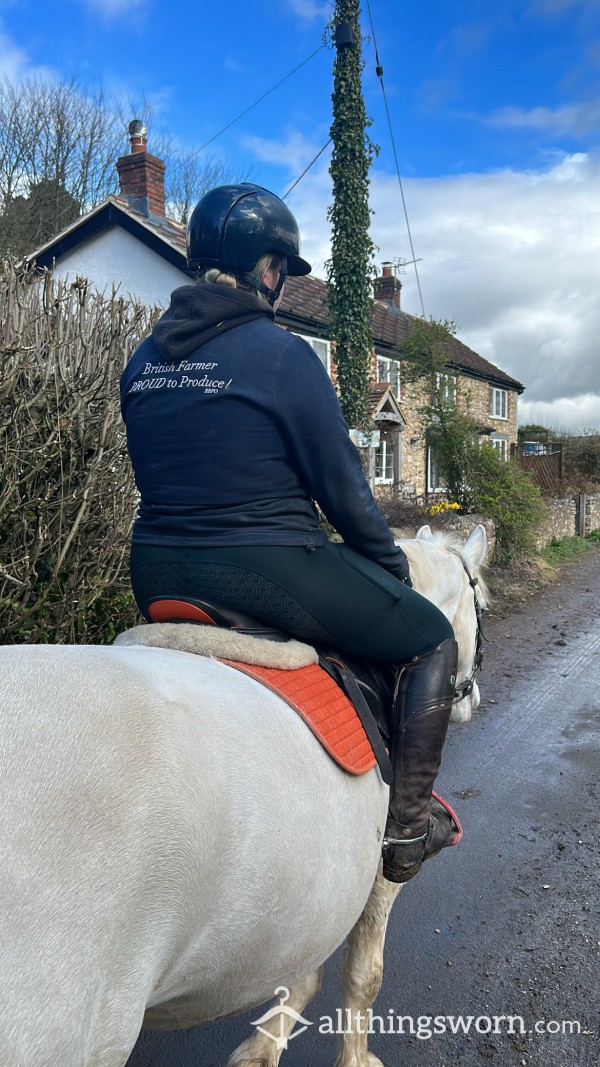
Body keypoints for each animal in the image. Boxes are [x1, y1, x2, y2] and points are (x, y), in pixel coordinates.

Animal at [0, 524, 486, 1067]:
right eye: (481, 605)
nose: (472, 699)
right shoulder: (380, 874)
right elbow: (362, 977)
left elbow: (304, 977)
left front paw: (260, 1050)